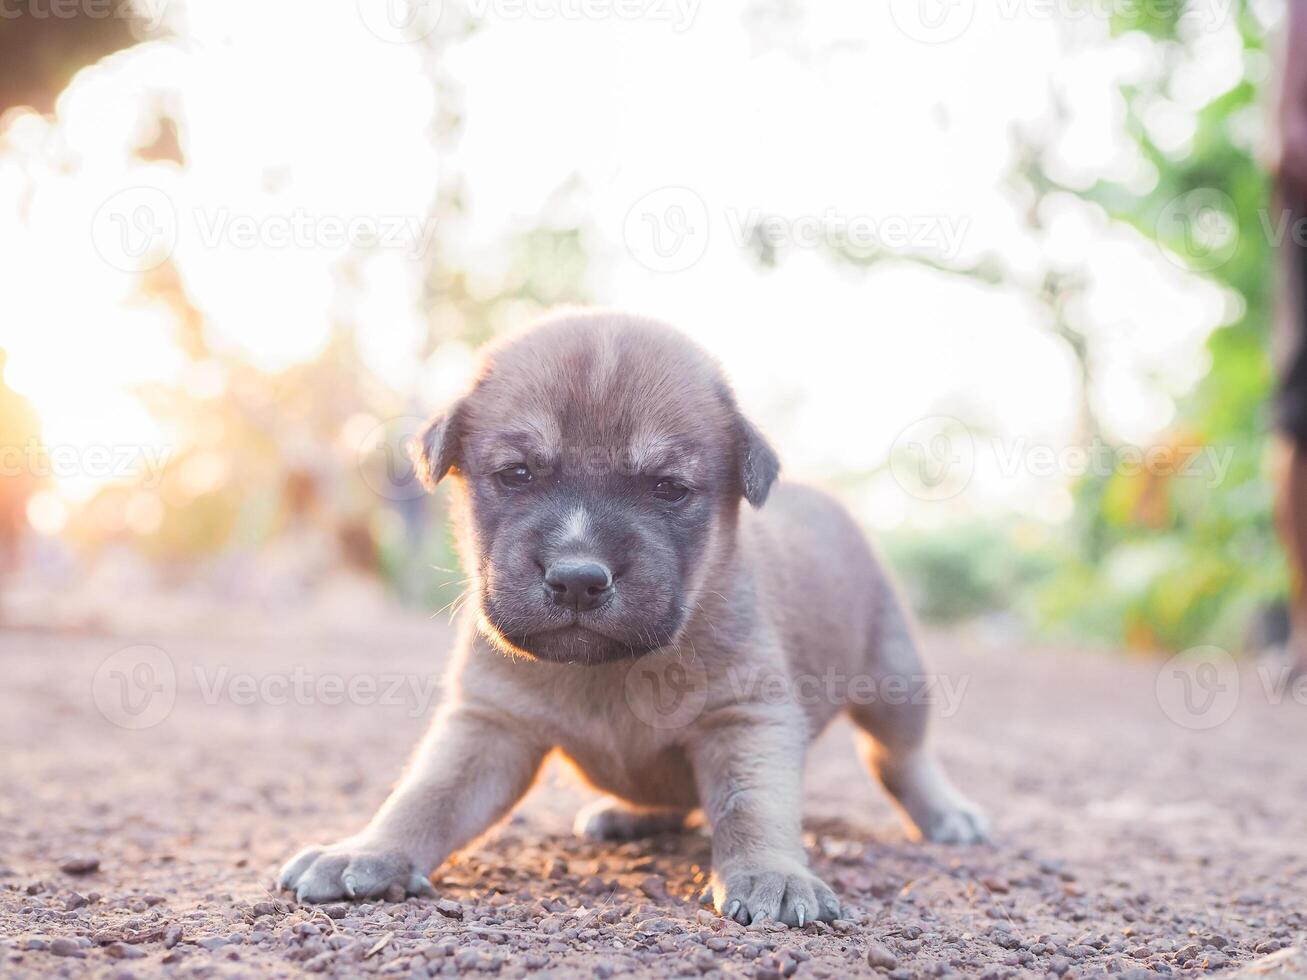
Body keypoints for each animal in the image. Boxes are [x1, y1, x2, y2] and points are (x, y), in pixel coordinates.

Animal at [278, 312, 988, 930]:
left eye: (668, 488)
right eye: (517, 474)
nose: (576, 577)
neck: (611, 671)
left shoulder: (746, 716)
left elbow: (752, 806)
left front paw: (772, 872)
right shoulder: (489, 724)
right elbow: (427, 796)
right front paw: (367, 850)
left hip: (895, 680)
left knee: (901, 756)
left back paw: (947, 813)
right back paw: (629, 815)